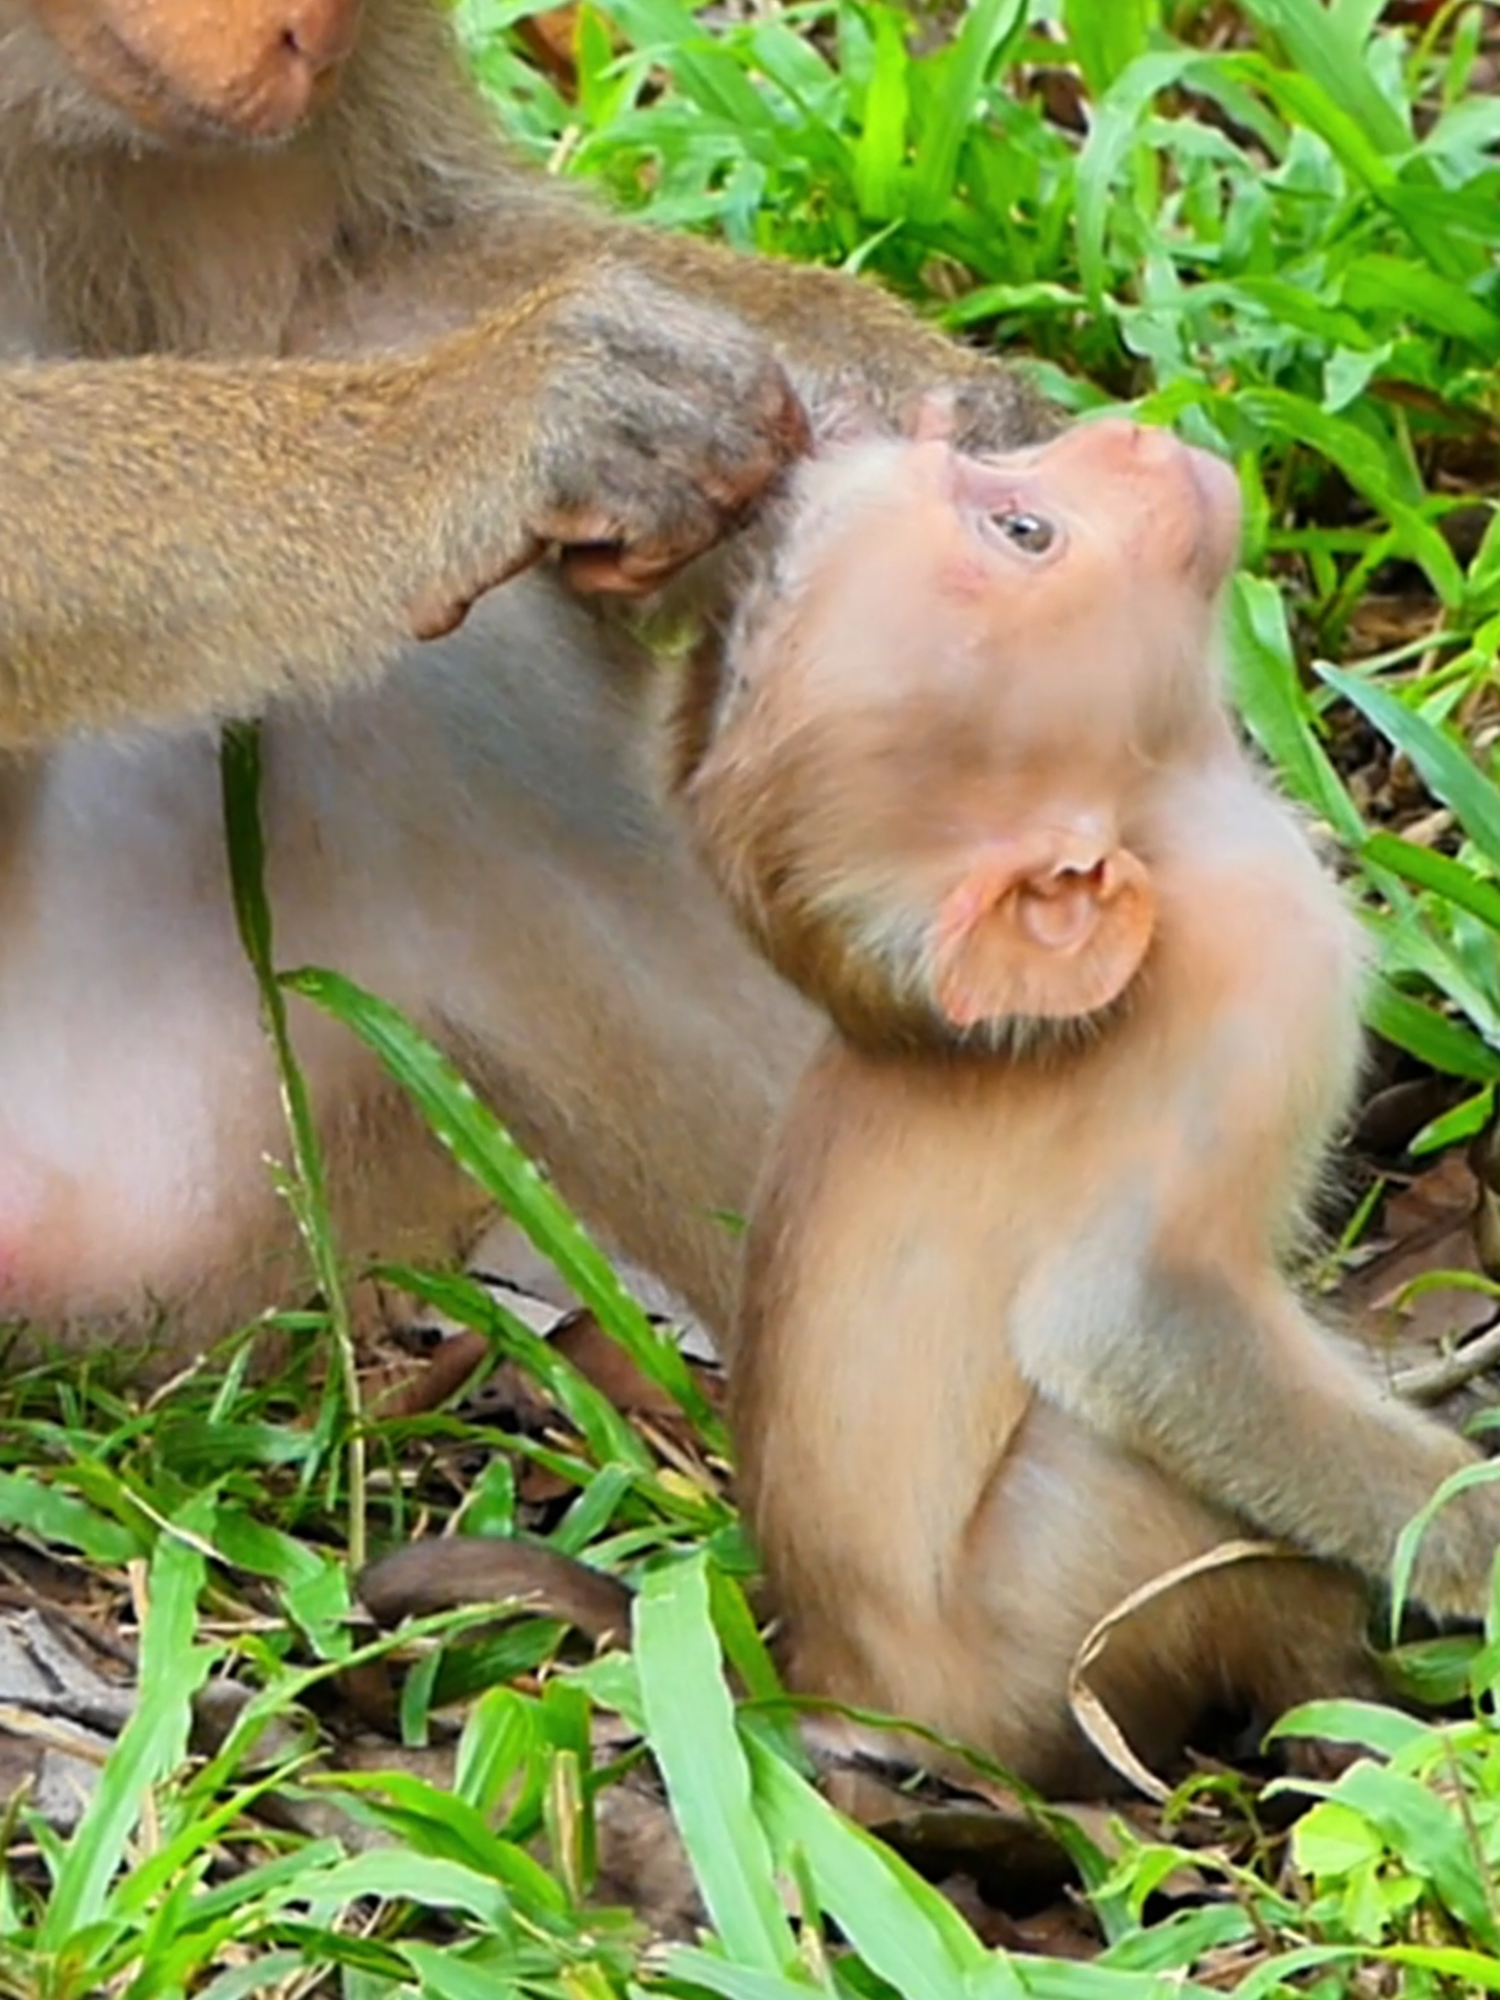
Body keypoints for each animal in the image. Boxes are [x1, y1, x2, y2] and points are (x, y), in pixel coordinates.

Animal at [680, 402, 1500, 1784]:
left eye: (994, 475)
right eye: (1027, 530)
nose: (1127, 430)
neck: (1172, 830)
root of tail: (842, 1690)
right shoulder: (1255, 978)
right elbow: (1126, 1317)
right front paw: (1471, 1533)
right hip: (1050, 1620)